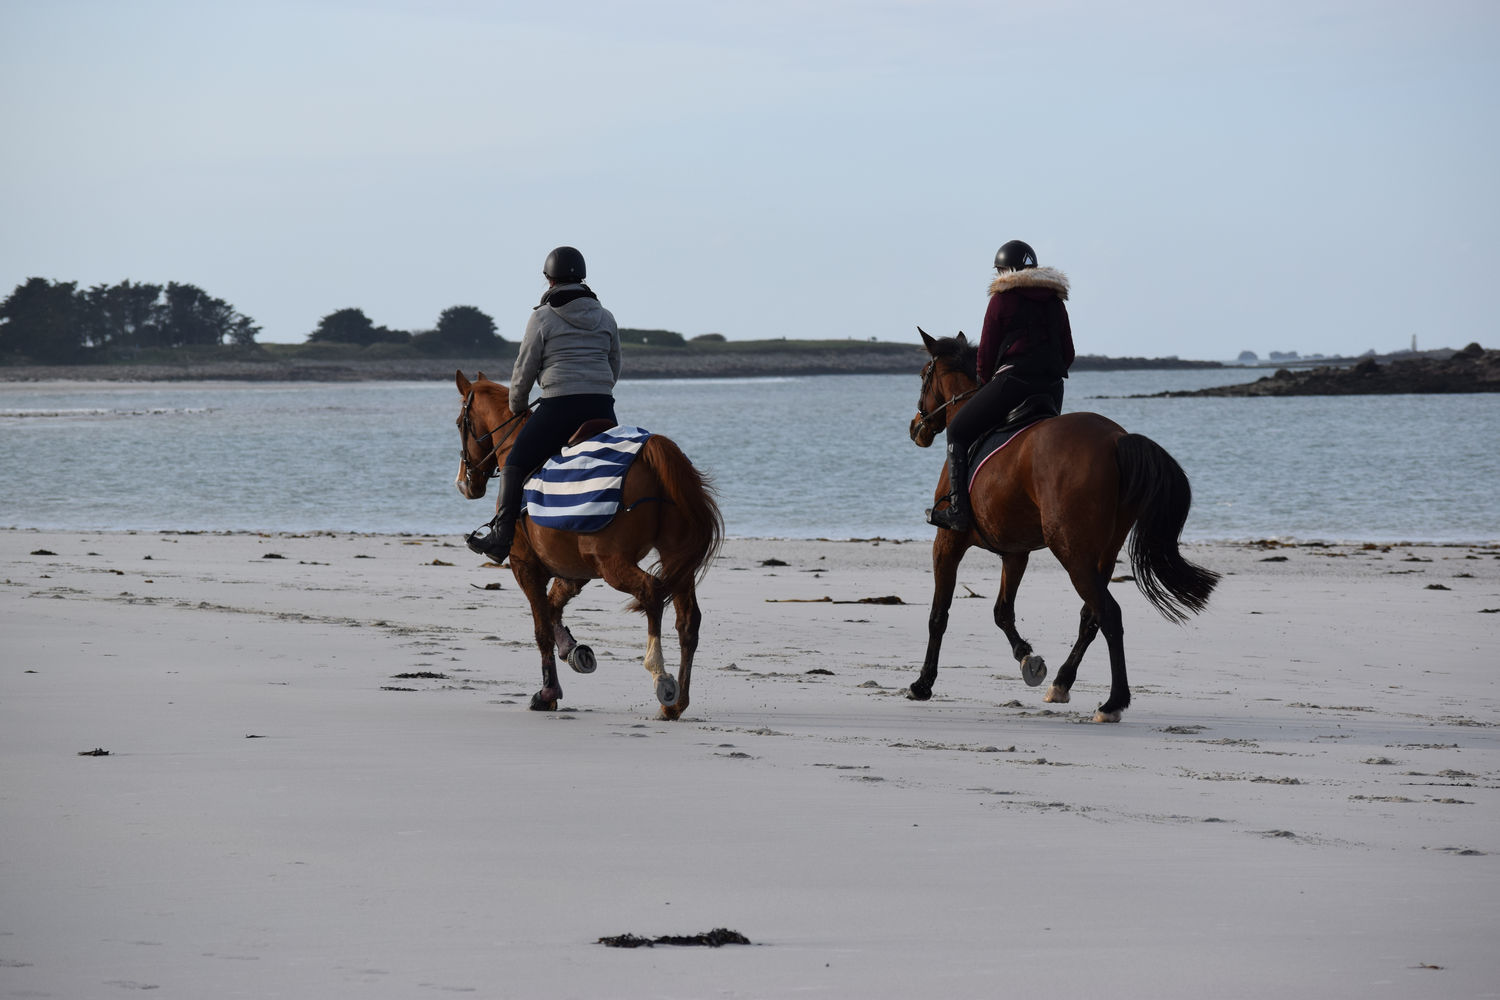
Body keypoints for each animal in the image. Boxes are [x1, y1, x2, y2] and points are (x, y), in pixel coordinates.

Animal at [450, 370, 720, 719]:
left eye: (461, 423)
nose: (464, 483)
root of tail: (653, 450)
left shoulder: (525, 565)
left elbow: (541, 628)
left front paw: (548, 692)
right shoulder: (573, 571)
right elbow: (552, 609)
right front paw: (572, 650)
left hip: (613, 564)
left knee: (651, 592)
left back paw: (660, 676)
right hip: (677, 561)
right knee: (687, 622)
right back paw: (675, 704)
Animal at [906, 332, 1212, 722]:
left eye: (922, 375)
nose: (916, 427)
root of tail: (1116, 440)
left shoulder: (948, 541)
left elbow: (938, 615)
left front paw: (922, 683)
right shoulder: (1015, 551)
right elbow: (1002, 612)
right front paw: (1028, 659)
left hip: (1071, 550)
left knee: (1109, 613)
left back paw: (1113, 702)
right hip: (1101, 553)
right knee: (1091, 615)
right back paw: (1062, 683)